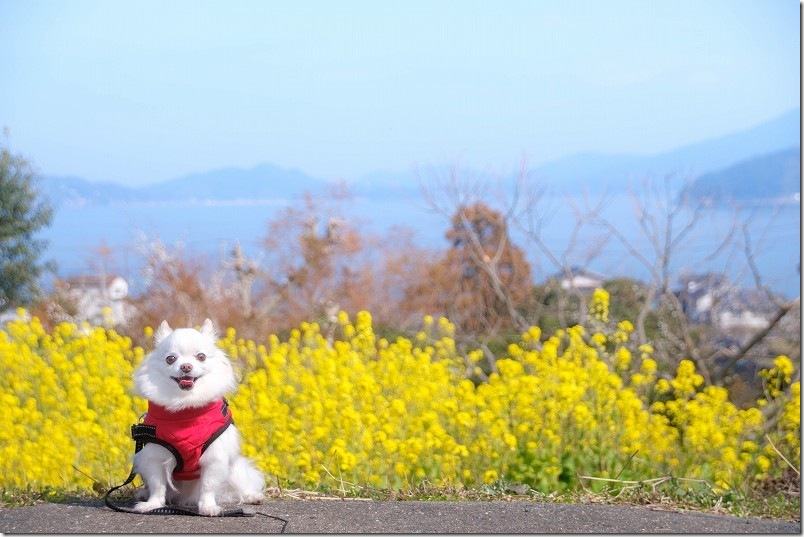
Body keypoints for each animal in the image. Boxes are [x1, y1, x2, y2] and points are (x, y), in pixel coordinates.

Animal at [132, 318, 266, 516]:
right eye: (170, 358)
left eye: (201, 357)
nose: (186, 366)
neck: (186, 410)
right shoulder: (154, 457)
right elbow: (157, 485)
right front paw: (152, 504)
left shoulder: (215, 457)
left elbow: (208, 486)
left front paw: (208, 507)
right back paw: (143, 494)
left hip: (235, 469)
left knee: (242, 485)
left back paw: (252, 496)